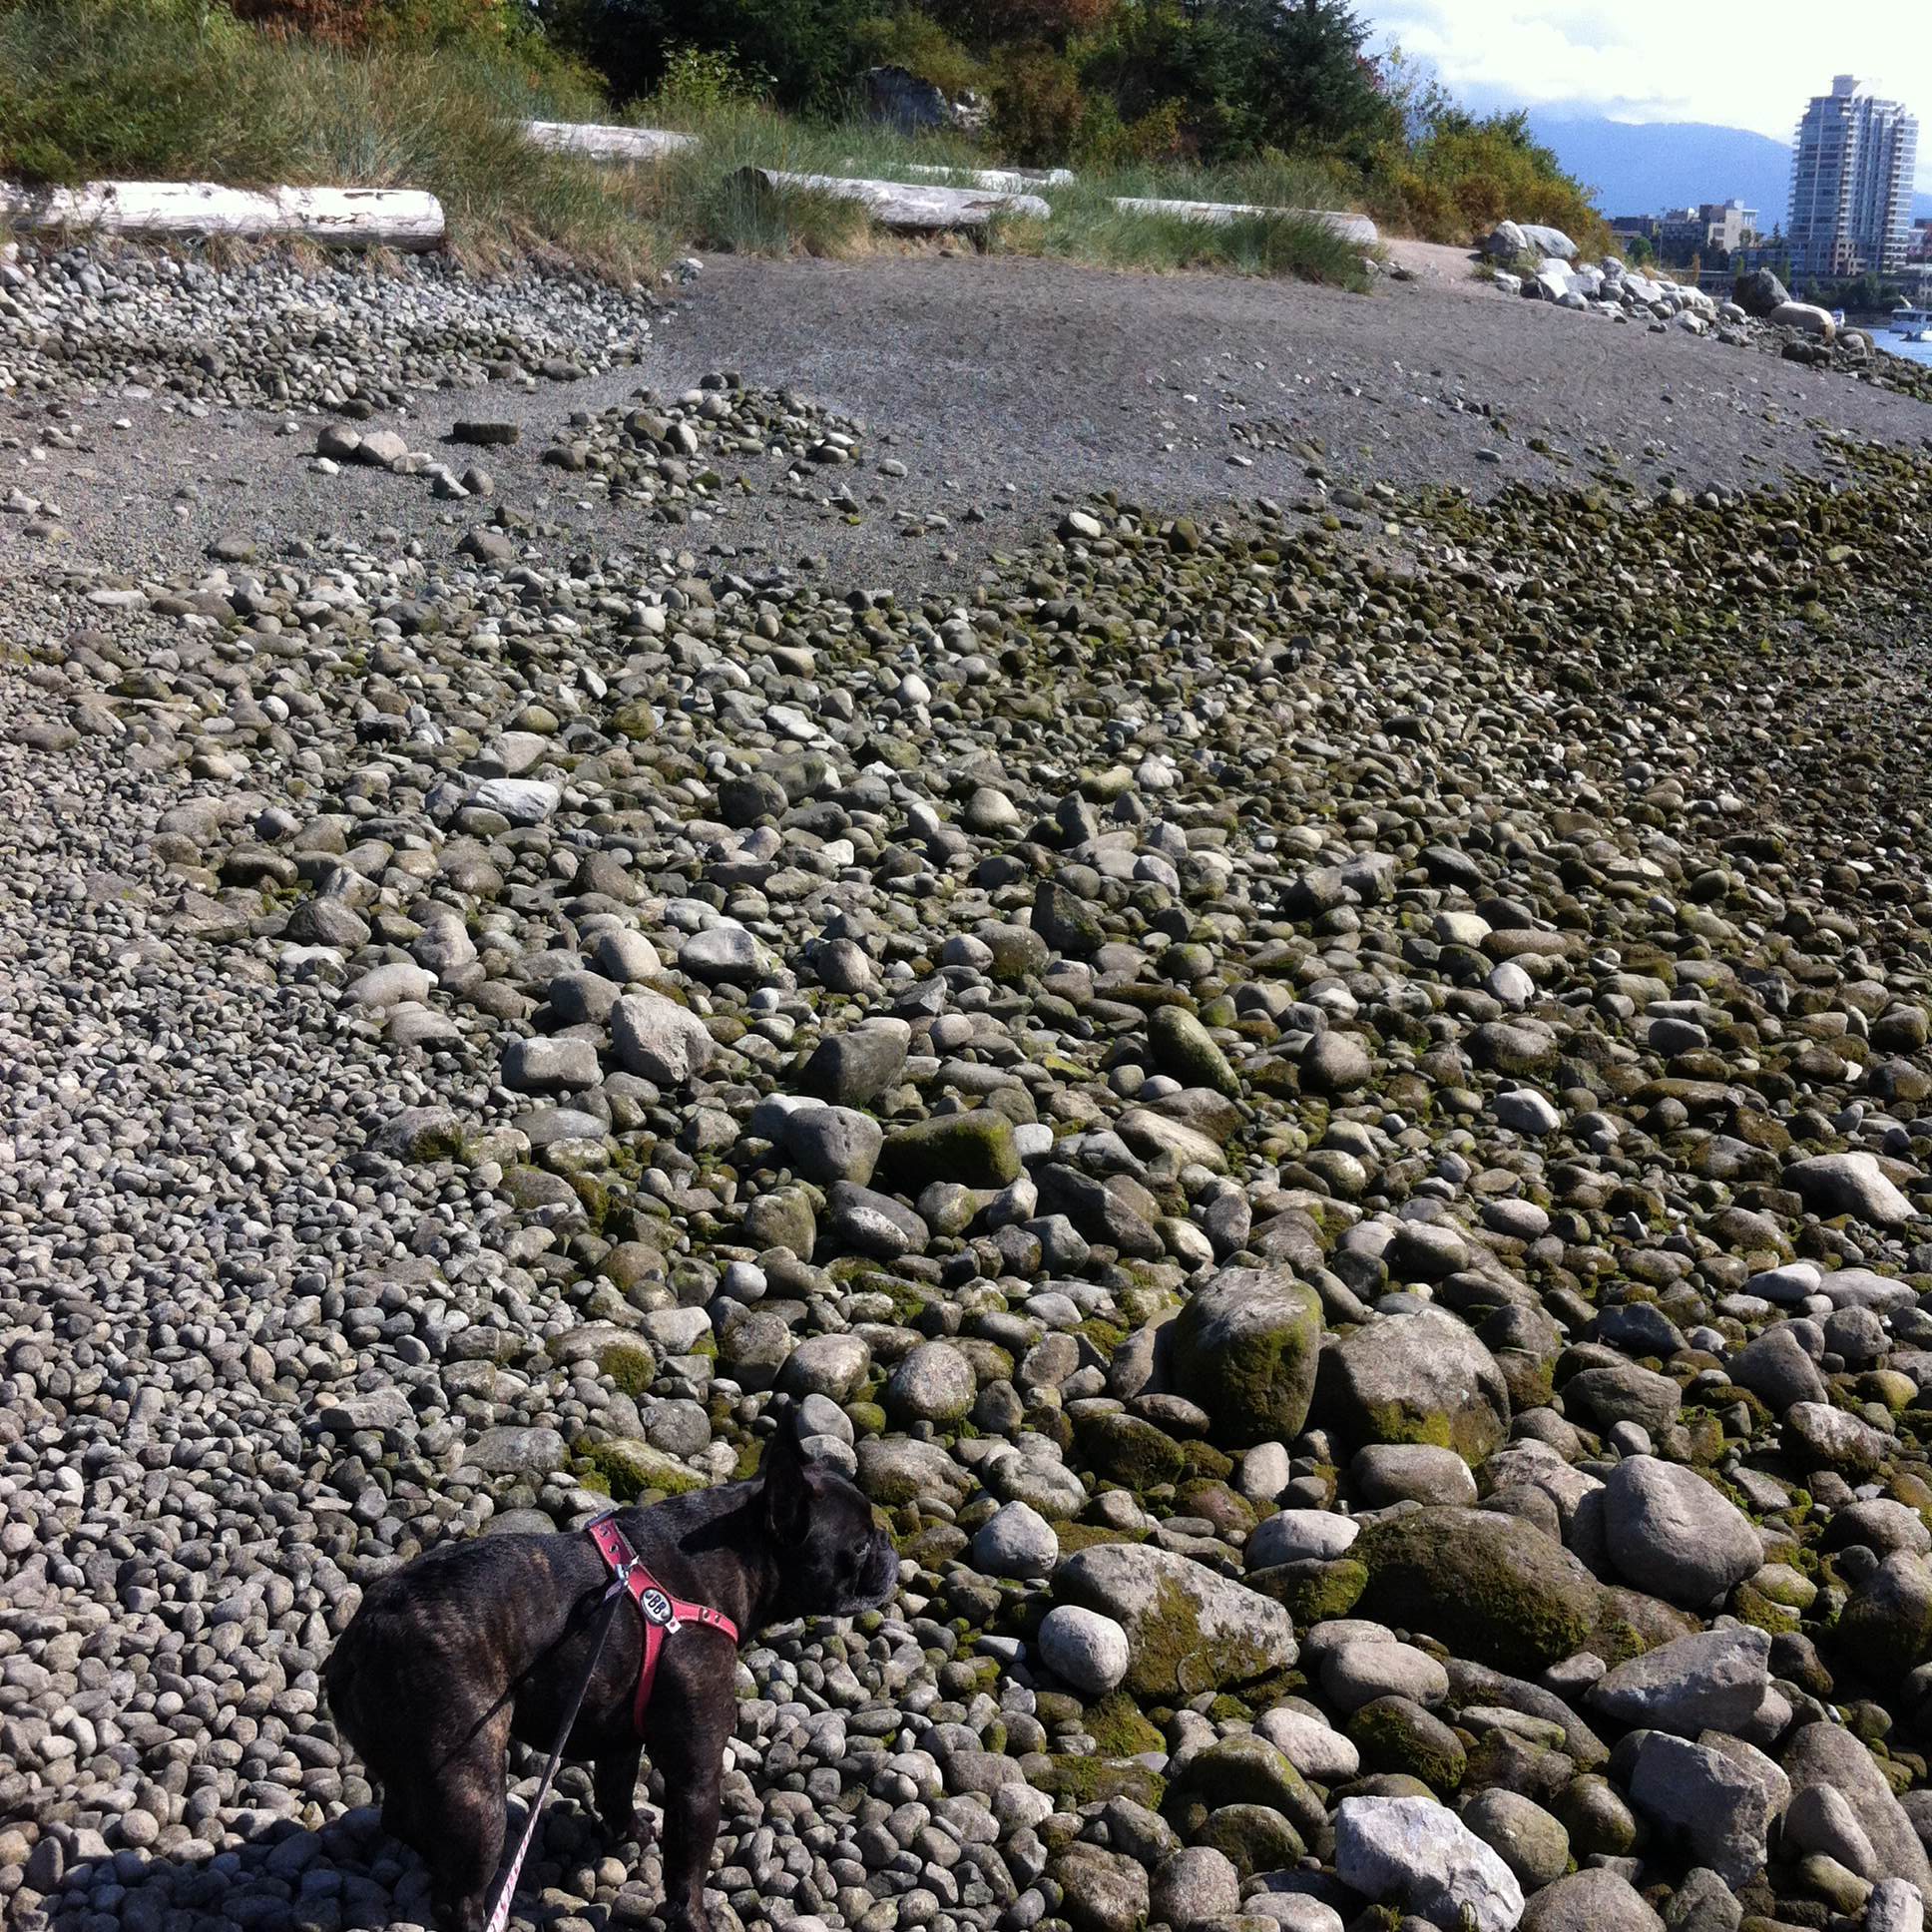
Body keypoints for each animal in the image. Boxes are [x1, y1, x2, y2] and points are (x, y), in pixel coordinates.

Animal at [324, 1403, 898, 1932]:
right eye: (860, 1545)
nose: (889, 1544)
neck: (730, 1555)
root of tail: (365, 1635)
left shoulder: (621, 1737)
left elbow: (616, 1792)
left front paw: (629, 1833)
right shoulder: (696, 1774)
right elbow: (687, 1867)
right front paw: (694, 1918)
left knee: (401, 1816)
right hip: (474, 1785)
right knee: (459, 1893)